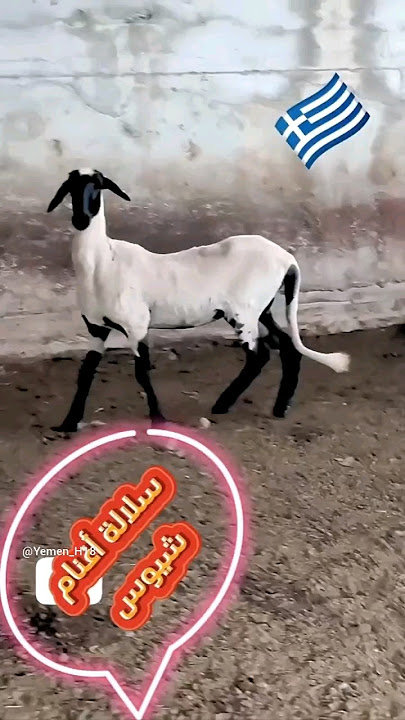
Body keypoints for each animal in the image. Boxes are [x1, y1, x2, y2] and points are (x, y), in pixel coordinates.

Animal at [47, 168, 350, 432]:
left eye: (98, 185)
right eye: (70, 187)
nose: (81, 220)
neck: (101, 261)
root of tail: (287, 259)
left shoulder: (136, 325)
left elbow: (141, 372)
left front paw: (159, 419)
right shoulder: (96, 328)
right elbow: (85, 373)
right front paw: (69, 423)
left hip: (243, 312)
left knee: (259, 355)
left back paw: (224, 404)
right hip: (261, 309)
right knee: (286, 346)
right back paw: (279, 407)